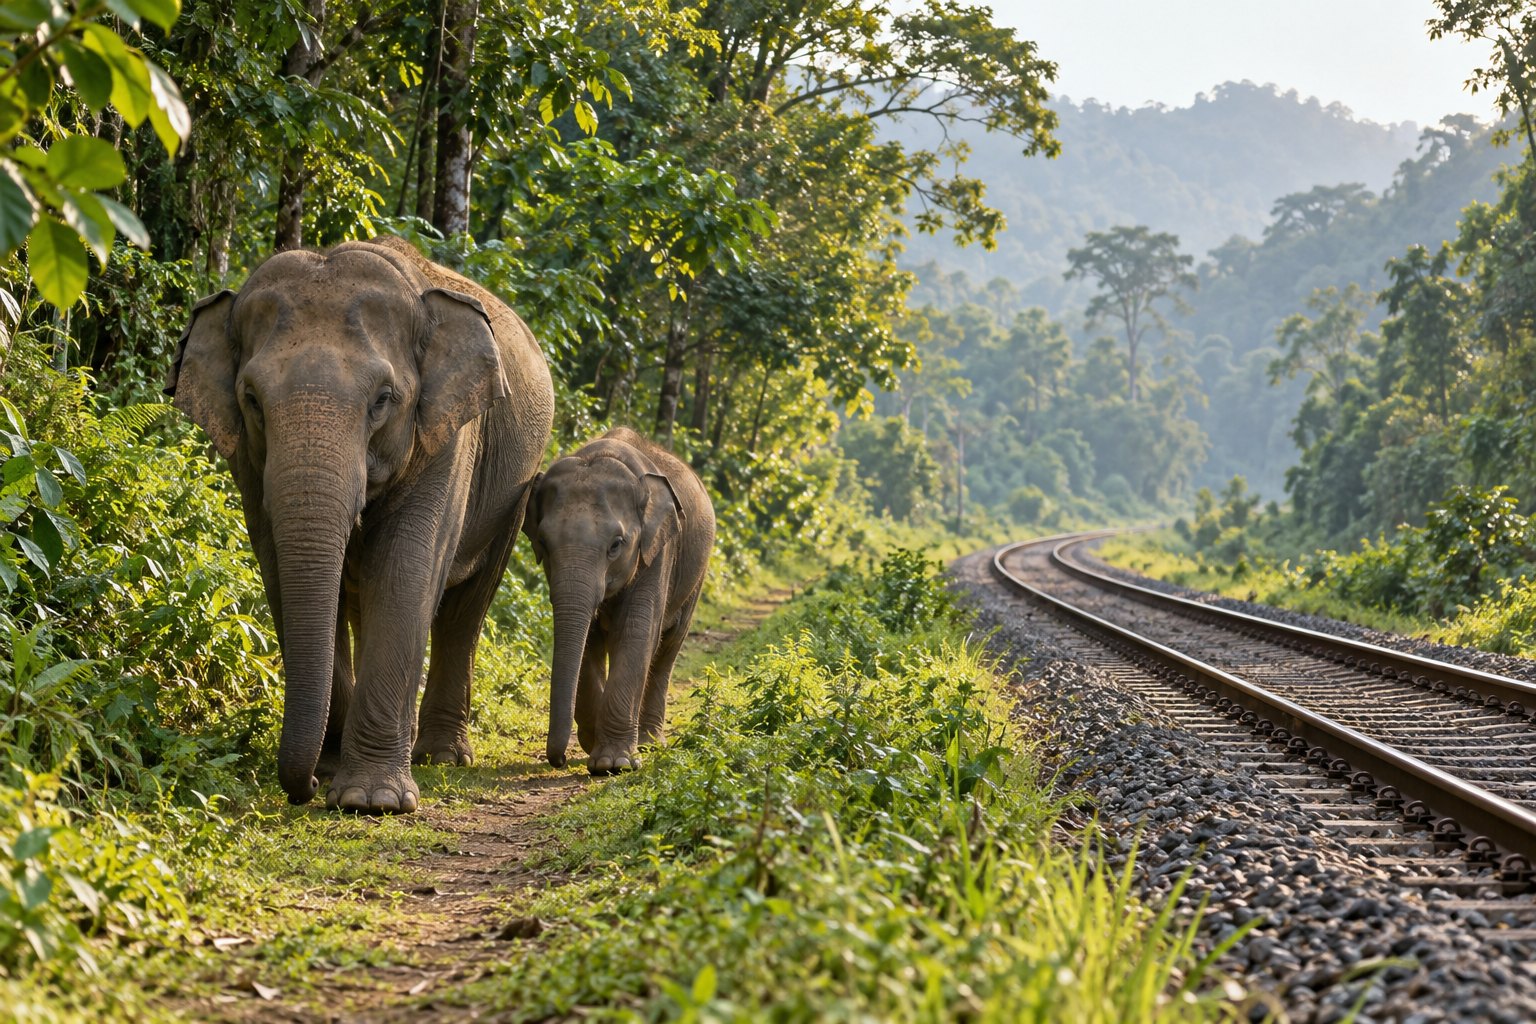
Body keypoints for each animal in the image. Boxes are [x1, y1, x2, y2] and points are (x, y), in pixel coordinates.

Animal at [166, 235, 554, 813]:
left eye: (383, 401)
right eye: (251, 399)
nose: (304, 788)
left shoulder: (448, 437)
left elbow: (403, 569)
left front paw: (372, 800)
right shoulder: (248, 461)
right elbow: (280, 570)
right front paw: (334, 775)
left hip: (516, 489)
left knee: (465, 611)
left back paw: (441, 757)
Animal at [522, 427, 715, 774]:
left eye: (616, 545)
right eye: (542, 542)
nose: (558, 760)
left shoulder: (658, 550)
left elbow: (636, 631)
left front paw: (614, 763)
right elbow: (588, 638)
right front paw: (592, 744)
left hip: (697, 576)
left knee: (667, 648)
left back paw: (650, 743)